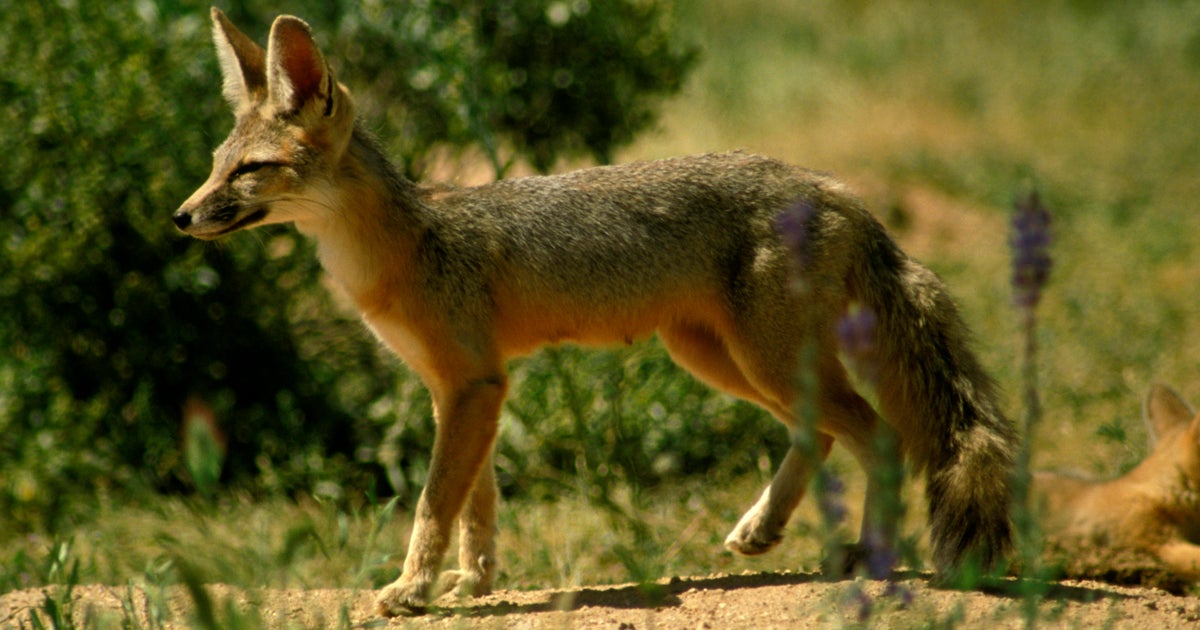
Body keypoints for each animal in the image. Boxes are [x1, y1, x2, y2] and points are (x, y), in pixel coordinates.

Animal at [175, 8, 1022, 614]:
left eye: (250, 172)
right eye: (216, 166)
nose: (182, 218)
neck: (403, 246)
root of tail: (834, 186)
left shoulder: (473, 385)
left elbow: (433, 504)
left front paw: (411, 591)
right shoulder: (463, 389)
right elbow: (476, 503)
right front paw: (472, 583)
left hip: (760, 360)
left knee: (877, 435)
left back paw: (869, 558)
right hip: (717, 359)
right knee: (817, 433)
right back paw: (763, 530)